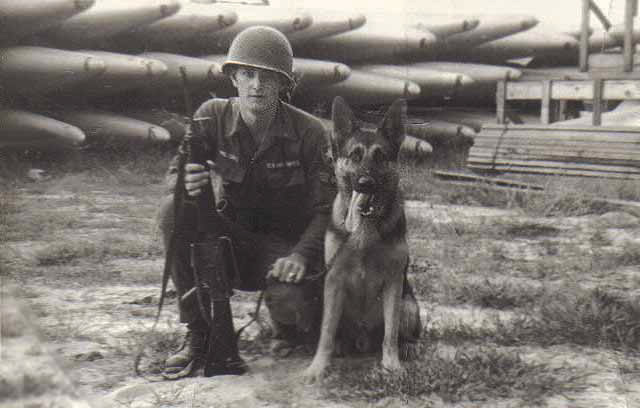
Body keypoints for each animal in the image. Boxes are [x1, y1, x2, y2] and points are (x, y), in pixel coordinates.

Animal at [304, 96, 420, 382]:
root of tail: (362, 340)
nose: (365, 183)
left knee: (401, 331)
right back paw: (341, 346)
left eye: (381, 156)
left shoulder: (393, 282)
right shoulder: (333, 280)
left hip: (409, 304)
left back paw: (408, 347)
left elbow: (390, 333)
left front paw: (391, 365)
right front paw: (318, 367)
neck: (365, 229)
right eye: (354, 156)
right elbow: (326, 332)